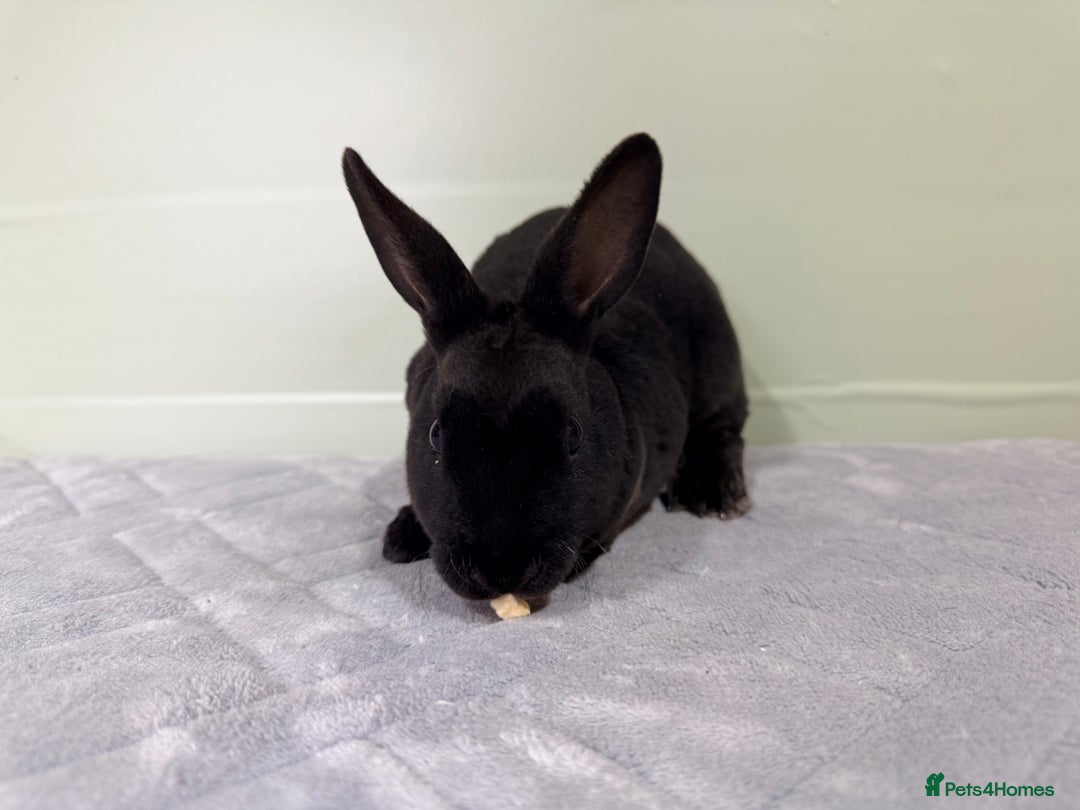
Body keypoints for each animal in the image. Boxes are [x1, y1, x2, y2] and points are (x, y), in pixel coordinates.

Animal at [341, 133, 750, 604]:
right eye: (435, 435)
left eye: (573, 435)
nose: (501, 572)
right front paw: (401, 538)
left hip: (719, 371)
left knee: (724, 429)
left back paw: (713, 495)